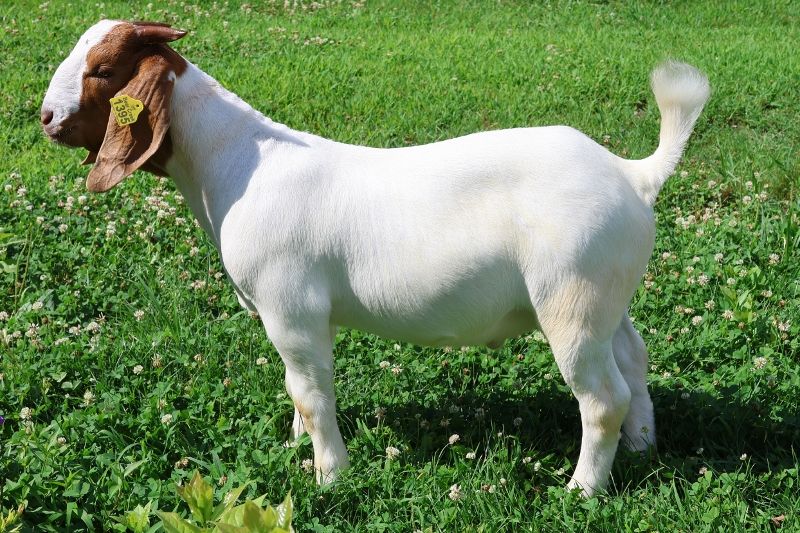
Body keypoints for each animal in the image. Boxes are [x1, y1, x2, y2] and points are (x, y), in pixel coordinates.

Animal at [41, 20, 710, 495]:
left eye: (103, 69)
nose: (47, 117)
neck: (233, 162)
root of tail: (634, 174)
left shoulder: (291, 309)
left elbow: (313, 393)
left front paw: (329, 475)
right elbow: (296, 392)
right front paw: (295, 447)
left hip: (571, 295)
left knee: (601, 397)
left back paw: (582, 489)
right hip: (606, 290)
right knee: (634, 360)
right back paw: (642, 447)